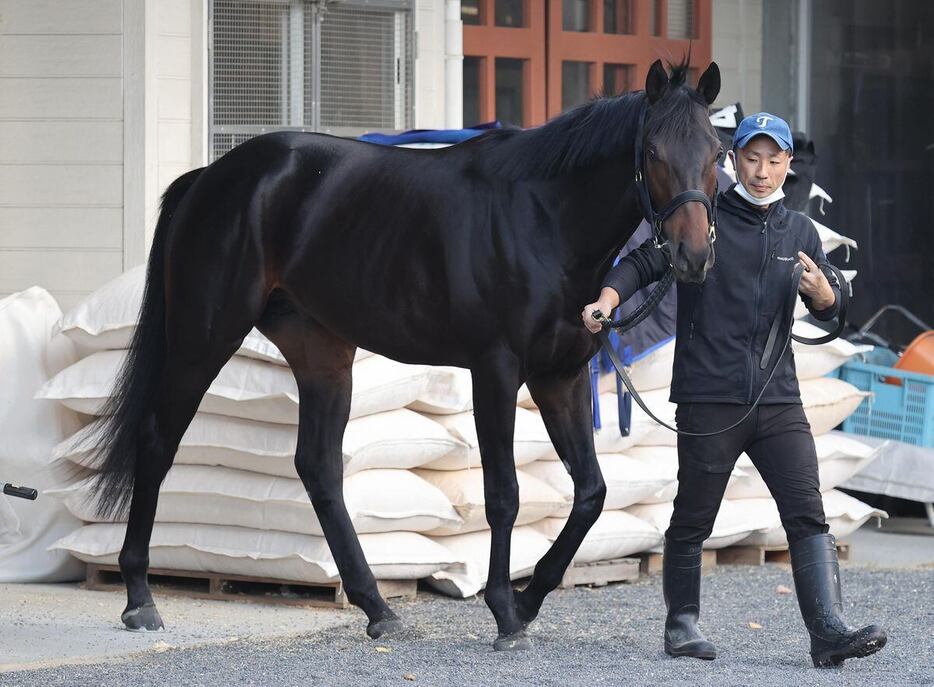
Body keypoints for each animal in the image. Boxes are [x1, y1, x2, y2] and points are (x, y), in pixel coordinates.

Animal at [89, 59, 724, 652]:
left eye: (715, 152)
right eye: (652, 151)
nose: (692, 256)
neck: (541, 217)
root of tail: (209, 178)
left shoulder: (559, 375)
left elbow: (591, 493)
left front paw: (529, 599)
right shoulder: (495, 372)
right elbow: (504, 495)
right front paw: (504, 612)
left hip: (322, 354)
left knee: (318, 467)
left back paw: (378, 609)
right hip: (204, 338)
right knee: (158, 440)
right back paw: (139, 597)